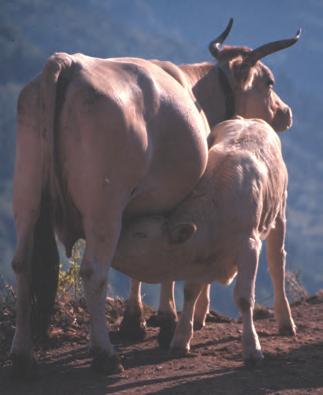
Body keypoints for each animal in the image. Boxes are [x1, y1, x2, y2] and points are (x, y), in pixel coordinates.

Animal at [115, 117, 298, 366]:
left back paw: (285, 320)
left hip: (278, 215)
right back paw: (201, 315)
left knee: (277, 265)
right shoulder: (198, 255)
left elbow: (244, 298)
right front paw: (181, 338)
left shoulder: (249, 246)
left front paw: (252, 347)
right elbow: (190, 291)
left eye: (140, 234)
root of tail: (248, 120)